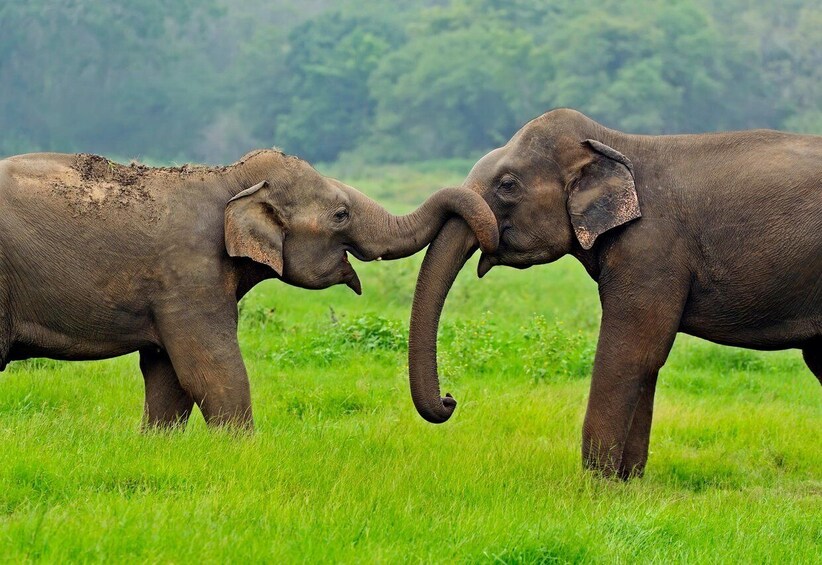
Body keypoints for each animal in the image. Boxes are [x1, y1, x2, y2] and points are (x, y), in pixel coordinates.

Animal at [0, 149, 498, 429]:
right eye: (340, 215)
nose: (451, 399)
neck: (231, 178)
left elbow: (167, 376)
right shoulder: (189, 272)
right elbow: (211, 371)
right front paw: (242, 452)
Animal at [407, 108, 821, 479]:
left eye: (507, 185)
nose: (450, 399)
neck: (614, 143)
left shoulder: (652, 250)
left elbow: (633, 352)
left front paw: (595, 487)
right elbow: (646, 361)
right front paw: (627, 484)